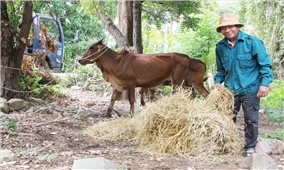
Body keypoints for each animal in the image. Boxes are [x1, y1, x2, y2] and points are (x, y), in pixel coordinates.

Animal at [77, 39, 209, 117]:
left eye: (92, 48)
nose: (80, 60)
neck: (115, 61)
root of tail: (188, 57)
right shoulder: (118, 84)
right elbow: (113, 98)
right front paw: (108, 113)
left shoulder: (131, 84)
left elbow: (131, 100)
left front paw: (131, 114)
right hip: (187, 84)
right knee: (199, 95)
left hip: (181, 83)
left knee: (196, 95)